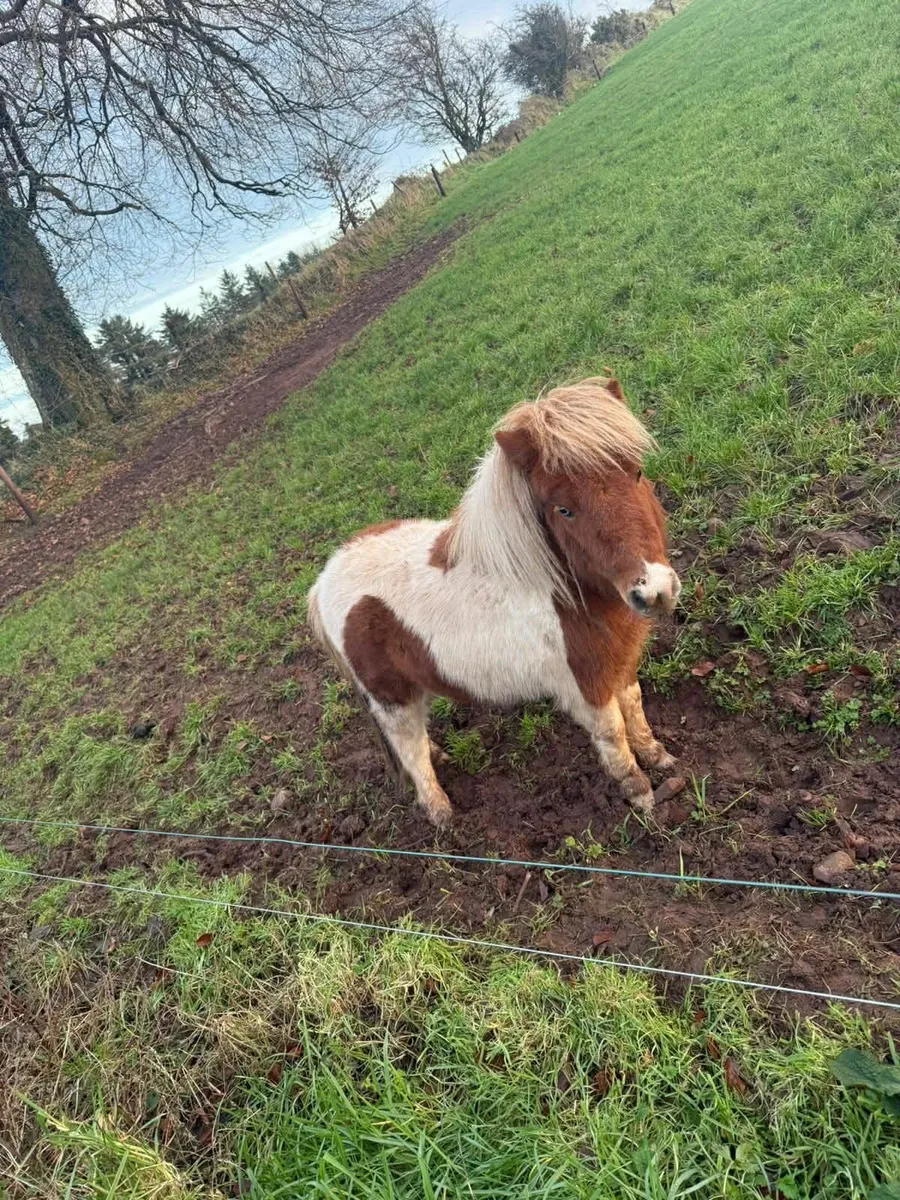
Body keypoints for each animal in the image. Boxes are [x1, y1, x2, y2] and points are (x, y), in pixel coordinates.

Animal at [307, 377, 681, 826]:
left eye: (637, 473)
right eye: (564, 510)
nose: (653, 591)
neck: (564, 595)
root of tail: (323, 582)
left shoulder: (619, 665)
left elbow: (635, 706)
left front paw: (658, 756)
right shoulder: (586, 686)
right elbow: (613, 734)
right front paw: (639, 793)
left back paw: (439, 756)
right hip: (391, 698)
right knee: (408, 748)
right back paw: (440, 814)